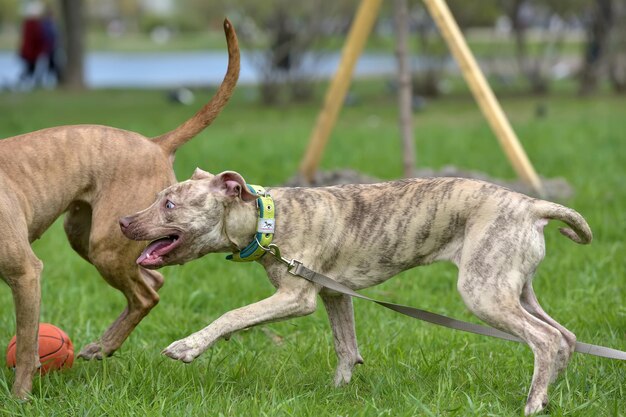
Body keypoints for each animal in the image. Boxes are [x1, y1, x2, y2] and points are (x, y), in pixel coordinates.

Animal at [0, 20, 239, 400]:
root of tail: (155, 143)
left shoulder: (25, 273)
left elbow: (25, 346)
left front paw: (20, 398)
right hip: (85, 236)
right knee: (152, 280)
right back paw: (105, 343)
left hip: (106, 246)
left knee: (145, 295)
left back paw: (105, 345)